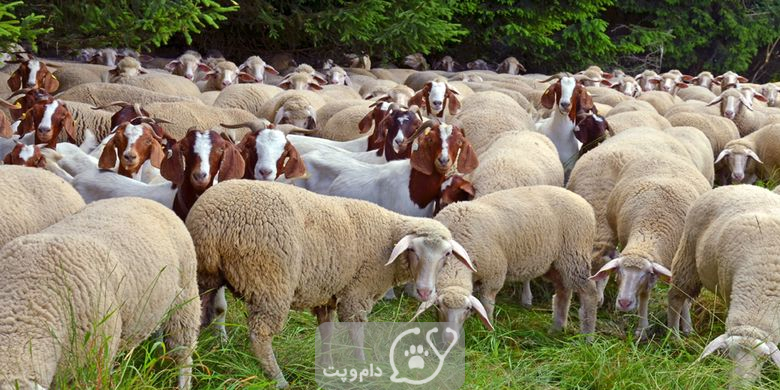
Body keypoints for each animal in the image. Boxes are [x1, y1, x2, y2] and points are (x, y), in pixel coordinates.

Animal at [420, 186, 596, 338]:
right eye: (438, 307)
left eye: (467, 309)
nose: (449, 338)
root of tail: (584, 203)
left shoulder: (494, 274)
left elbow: (487, 304)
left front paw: (489, 332)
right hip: (556, 264)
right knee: (563, 292)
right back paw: (556, 329)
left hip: (574, 255)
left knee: (589, 293)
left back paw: (587, 336)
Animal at [592, 156, 712, 338]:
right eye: (619, 272)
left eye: (645, 274)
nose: (624, 303)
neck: (649, 230)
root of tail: (665, 155)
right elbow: (644, 294)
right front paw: (642, 330)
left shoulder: (679, 259)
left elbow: (681, 294)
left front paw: (686, 327)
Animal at [668, 186, 780, 390]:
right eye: (729, 354)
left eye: (763, 358)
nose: (739, 388)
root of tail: (738, 186)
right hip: (688, 254)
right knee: (676, 298)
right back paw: (674, 338)